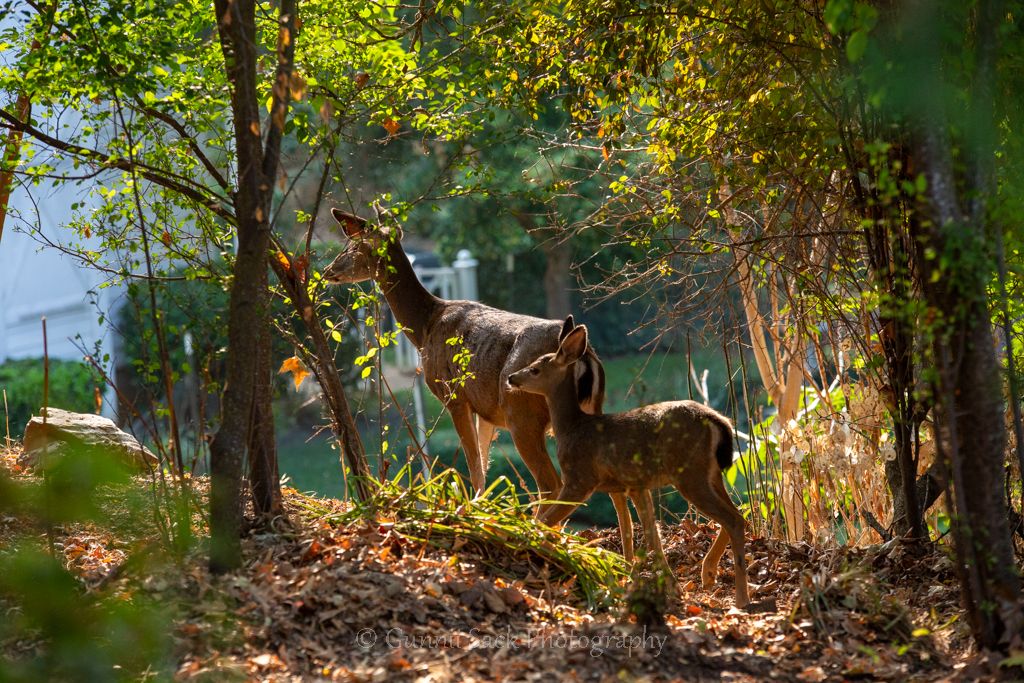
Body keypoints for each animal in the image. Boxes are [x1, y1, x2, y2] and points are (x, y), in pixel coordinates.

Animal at [322, 209, 636, 531]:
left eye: (352, 247)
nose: (327, 270)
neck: (426, 326)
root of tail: (585, 355)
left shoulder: (454, 396)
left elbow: (474, 466)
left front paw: (473, 516)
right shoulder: (487, 411)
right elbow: (484, 466)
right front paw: (481, 511)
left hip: (522, 412)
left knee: (551, 485)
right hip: (588, 408)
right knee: (612, 489)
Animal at [507, 324, 750, 608]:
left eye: (535, 368)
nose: (512, 377)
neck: (572, 428)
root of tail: (717, 420)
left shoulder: (580, 479)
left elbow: (545, 519)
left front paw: (522, 539)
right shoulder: (632, 485)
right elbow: (642, 533)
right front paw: (666, 586)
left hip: (690, 474)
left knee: (732, 520)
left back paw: (741, 598)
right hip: (712, 474)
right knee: (738, 514)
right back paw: (709, 574)